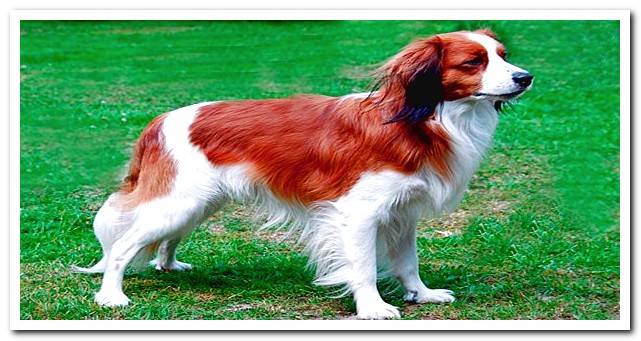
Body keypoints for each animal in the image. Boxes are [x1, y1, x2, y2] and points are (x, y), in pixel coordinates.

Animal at [71, 29, 528, 318]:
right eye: (473, 62)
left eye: (503, 55)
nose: (526, 77)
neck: (420, 120)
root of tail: (160, 120)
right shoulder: (359, 213)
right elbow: (364, 266)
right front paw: (373, 308)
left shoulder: (402, 213)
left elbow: (408, 262)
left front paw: (422, 294)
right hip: (179, 202)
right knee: (122, 246)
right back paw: (111, 296)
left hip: (198, 203)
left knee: (165, 239)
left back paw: (169, 265)